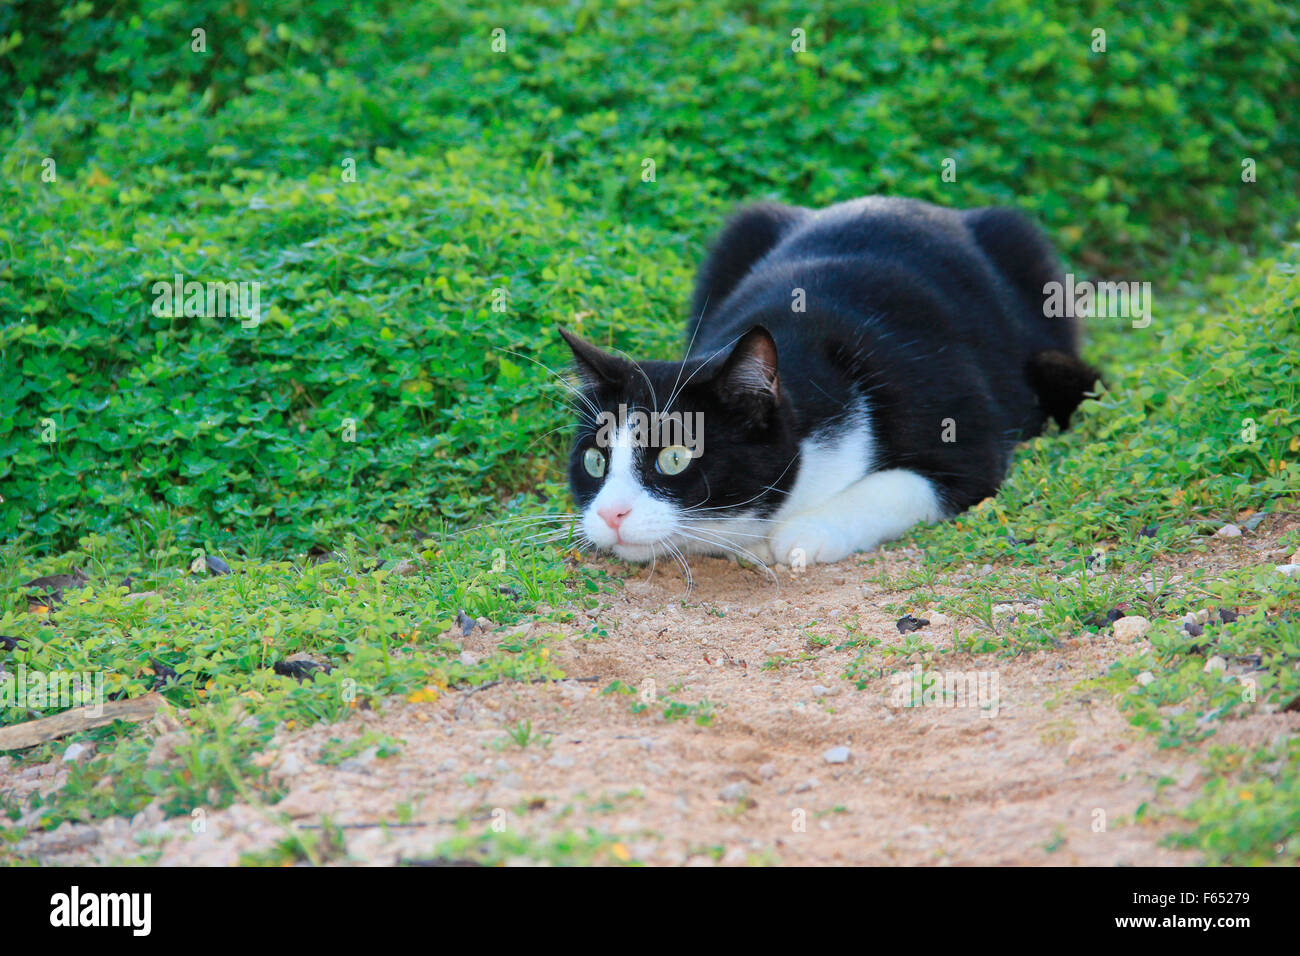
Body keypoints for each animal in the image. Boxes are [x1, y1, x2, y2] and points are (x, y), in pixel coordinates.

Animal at [559, 195, 1097, 567]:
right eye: (594, 461)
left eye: (674, 458)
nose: (610, 515)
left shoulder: (962, 429)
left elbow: (902, 485)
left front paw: (806, 532)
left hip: (1023, 247)